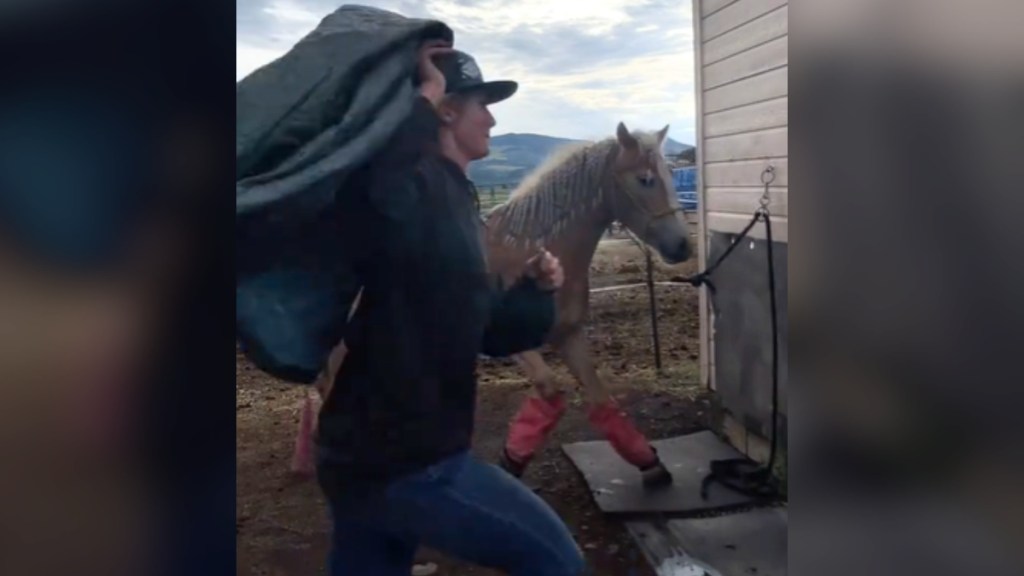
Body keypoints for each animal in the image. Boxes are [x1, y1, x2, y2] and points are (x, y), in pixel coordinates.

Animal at [290, 121, 696, 483]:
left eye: (670, 175)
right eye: (645, 179)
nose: (683, 246)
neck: (534, 250)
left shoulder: (568, 335)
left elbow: (601, 400)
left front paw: (649, 463)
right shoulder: (515, 345)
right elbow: (550, 391)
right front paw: (510, 463)